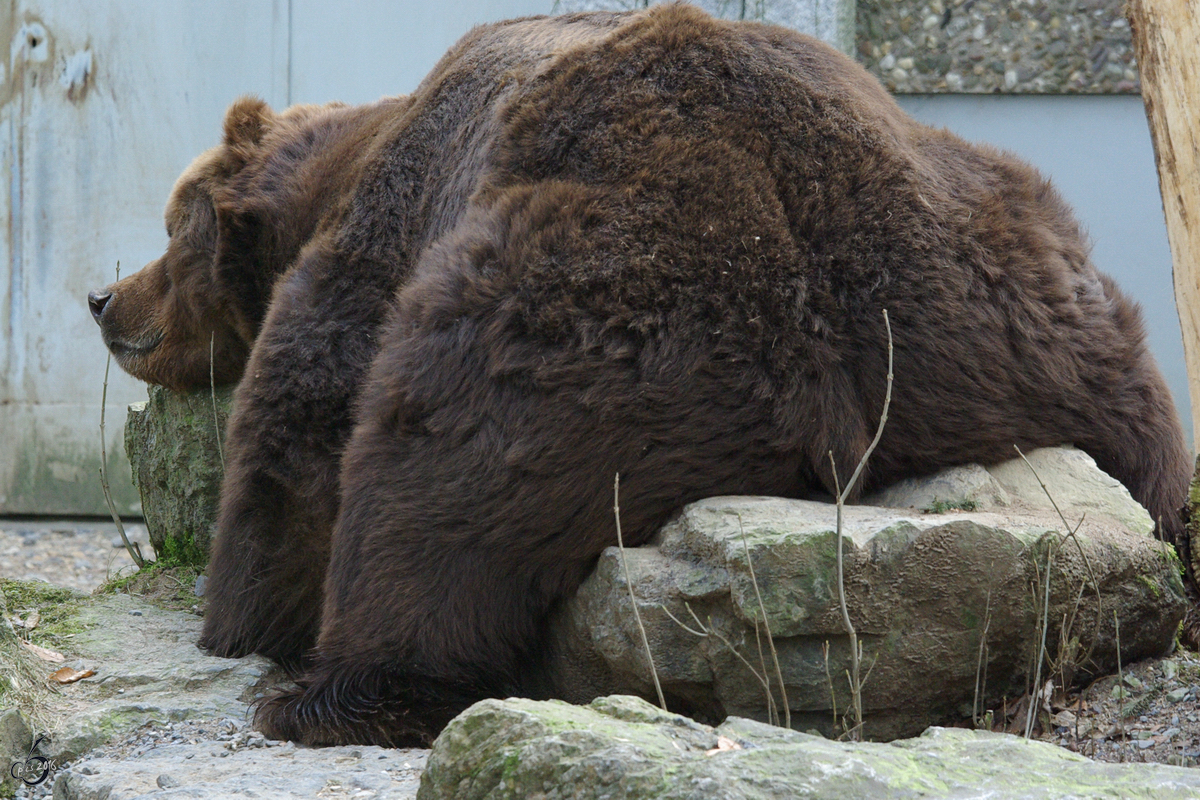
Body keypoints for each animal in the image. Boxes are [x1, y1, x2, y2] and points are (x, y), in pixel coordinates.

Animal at [87, 3, 1190, 748]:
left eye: (170, 230)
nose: (104, 298)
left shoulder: (379, 239)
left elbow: (296, 435)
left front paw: (238, 612)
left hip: (584, 302)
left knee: (426, 480)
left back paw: (331, 688)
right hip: (1014, 297)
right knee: (1145, 437)